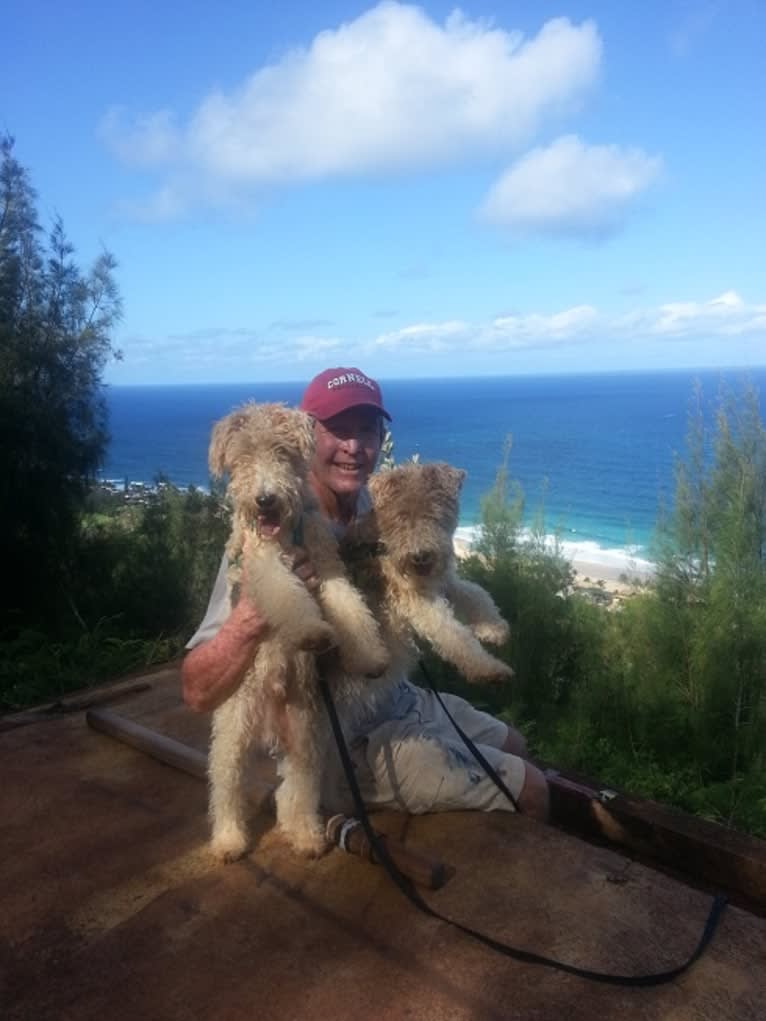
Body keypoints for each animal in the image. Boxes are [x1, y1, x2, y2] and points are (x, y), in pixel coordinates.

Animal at [205, 402, 390, 857]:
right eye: (242, 456)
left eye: (283, 450)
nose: (265, 499)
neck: (288, 535)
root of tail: (268, 727)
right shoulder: (264, 566)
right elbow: (289, 597)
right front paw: (311, 632)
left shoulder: (325, 565)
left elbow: (350, 606)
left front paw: (370, 655)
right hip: (232, 737)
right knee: (225, 790)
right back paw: (229, 840)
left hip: (306, 737)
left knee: (295, 792)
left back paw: (306, 835)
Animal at [347, 463, 516, 686]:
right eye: (399, 517)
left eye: (434, 512)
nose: (420, 556)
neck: (380, 544)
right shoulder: (420, 601)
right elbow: (455, 635)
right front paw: (490, 669)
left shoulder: (444, 582)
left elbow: (477, 593)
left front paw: (495, 629)